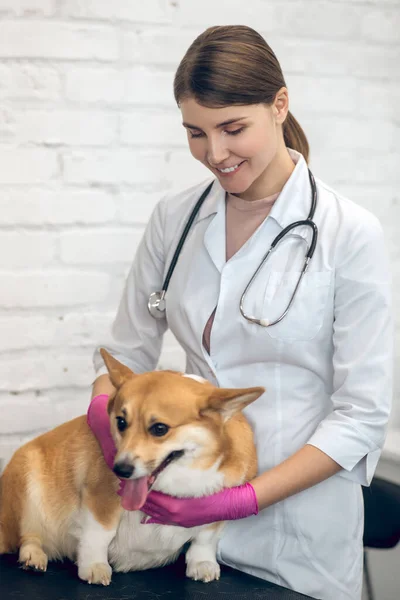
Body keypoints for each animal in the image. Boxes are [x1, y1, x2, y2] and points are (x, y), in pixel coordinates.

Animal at [0, 350, 264, 584]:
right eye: (121, 422)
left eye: (159, 428)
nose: (120, 470)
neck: (185, 477)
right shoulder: (100, 499)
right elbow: (99, 535)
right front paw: (94, 566)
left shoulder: (218, 507)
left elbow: (205, 539)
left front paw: (202, 563)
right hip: (25, 484)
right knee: (28, 535)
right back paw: (33, 556)